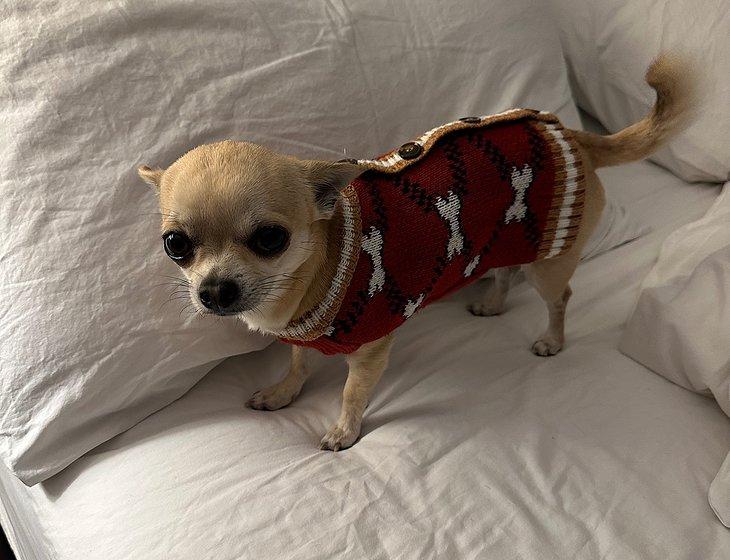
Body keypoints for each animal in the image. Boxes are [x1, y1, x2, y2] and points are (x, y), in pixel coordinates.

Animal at [139, 55, 692, 450]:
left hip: (550, 262)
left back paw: (552, 340)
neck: (317, 269)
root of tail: (574, 136)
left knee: (559, 298)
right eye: (176, 245)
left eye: (270, 239)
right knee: (503, 273)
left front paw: (344, 431)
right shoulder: (299, 336)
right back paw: (492, 304)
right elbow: (297, 364)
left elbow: (351, 392)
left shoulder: (370, 352)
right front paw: (283, 393)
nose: (214, 291)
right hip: (504, 239)